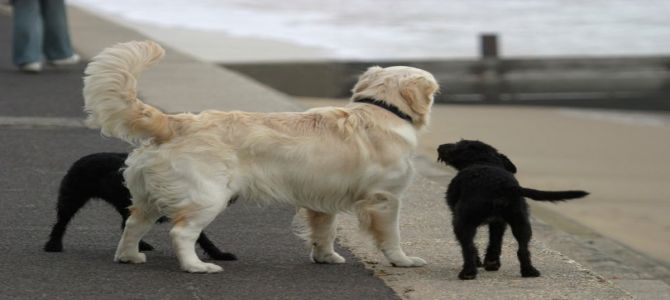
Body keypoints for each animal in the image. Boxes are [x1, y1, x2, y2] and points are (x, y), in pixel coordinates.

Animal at [43, 152, 238, 260]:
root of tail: (80, 160)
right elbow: (203, 238)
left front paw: (219, 255)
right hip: (71, 199)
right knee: (61, 223)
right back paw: (53, 245)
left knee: (125, 224)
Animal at [82, 41, 440, 274]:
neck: (383, 109)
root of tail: (175, 122)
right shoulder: (385, 199)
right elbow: (391, 235)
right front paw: (403, 261)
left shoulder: (322, 197)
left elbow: (324, 231)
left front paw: (326, 257)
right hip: (207, 196)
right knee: (180, 232)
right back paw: (197, 266)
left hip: (151, 195)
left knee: (133, 223)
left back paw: (129, 257)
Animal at [436, 140, 588, 278]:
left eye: (458, 144)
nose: (439, 146)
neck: (485, 161)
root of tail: (502, 186)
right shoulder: (499, 222)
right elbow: (495, 241)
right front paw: (492, 262)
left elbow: (476, 245)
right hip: (521, 221)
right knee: (523, 248)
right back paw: (528, 271)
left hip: (463, 222)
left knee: (468, 246)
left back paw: (468, 272)